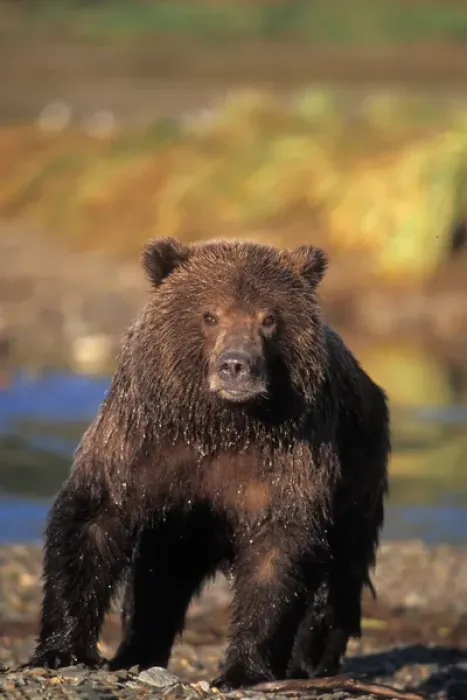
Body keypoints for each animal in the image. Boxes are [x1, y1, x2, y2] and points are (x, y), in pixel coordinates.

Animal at [26, 237, 390, 689]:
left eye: (269, 318)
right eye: (210, 315)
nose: (236, 364)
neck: (221, 425)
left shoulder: (286, 460)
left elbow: (277, 552)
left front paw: (243, 670)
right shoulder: (144, 444)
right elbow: (94, 520)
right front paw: (62, 649)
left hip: (358, 476)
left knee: (338, 580)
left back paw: (310, 662)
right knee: (159, 580)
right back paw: (136, 653)